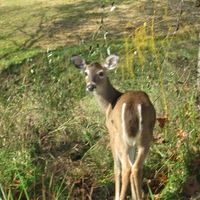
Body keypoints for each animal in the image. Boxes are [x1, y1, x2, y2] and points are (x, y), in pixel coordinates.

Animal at [71, 54, 157, 199]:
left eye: (101, 73)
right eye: (86, 72)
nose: (90, 86)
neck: (108, 104)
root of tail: (133, 106)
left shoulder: (111, 134)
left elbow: (116, 168)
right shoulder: (131, 143)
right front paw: (134, 196)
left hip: (119, 137)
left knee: (126, 168)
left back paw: (119, 197)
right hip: (146, 136)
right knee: (136, 167)